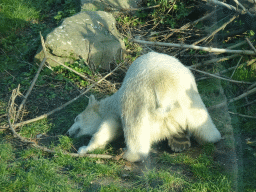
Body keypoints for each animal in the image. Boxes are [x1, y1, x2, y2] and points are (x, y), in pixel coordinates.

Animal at [67, 51, 221, 162]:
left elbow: (104, 130)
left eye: (76, 118)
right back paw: (205, 138)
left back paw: (130, 154)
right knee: (202, 123)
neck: (112, 102)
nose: (68, 132)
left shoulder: (117, 107)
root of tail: (165, 90)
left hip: (139, 97)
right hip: (189, 98)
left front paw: (83, 149)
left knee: (135, 127)